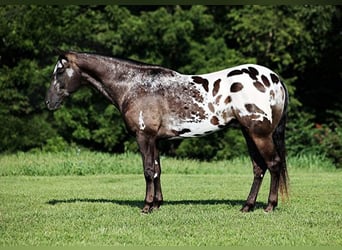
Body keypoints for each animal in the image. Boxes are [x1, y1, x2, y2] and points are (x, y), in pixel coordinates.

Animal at [45, 50, 288, 213]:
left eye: (59, 70)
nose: (48, 102)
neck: (134, 86)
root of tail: (274, 79)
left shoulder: (144, 137)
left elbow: (147, 170)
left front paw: (147, 206)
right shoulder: (155, 139)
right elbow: (157, 170)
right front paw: (158, 203)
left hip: (259, 134)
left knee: (273, 164)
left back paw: (269, 206)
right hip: (249, 133)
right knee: (259, 168)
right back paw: (247, 206)